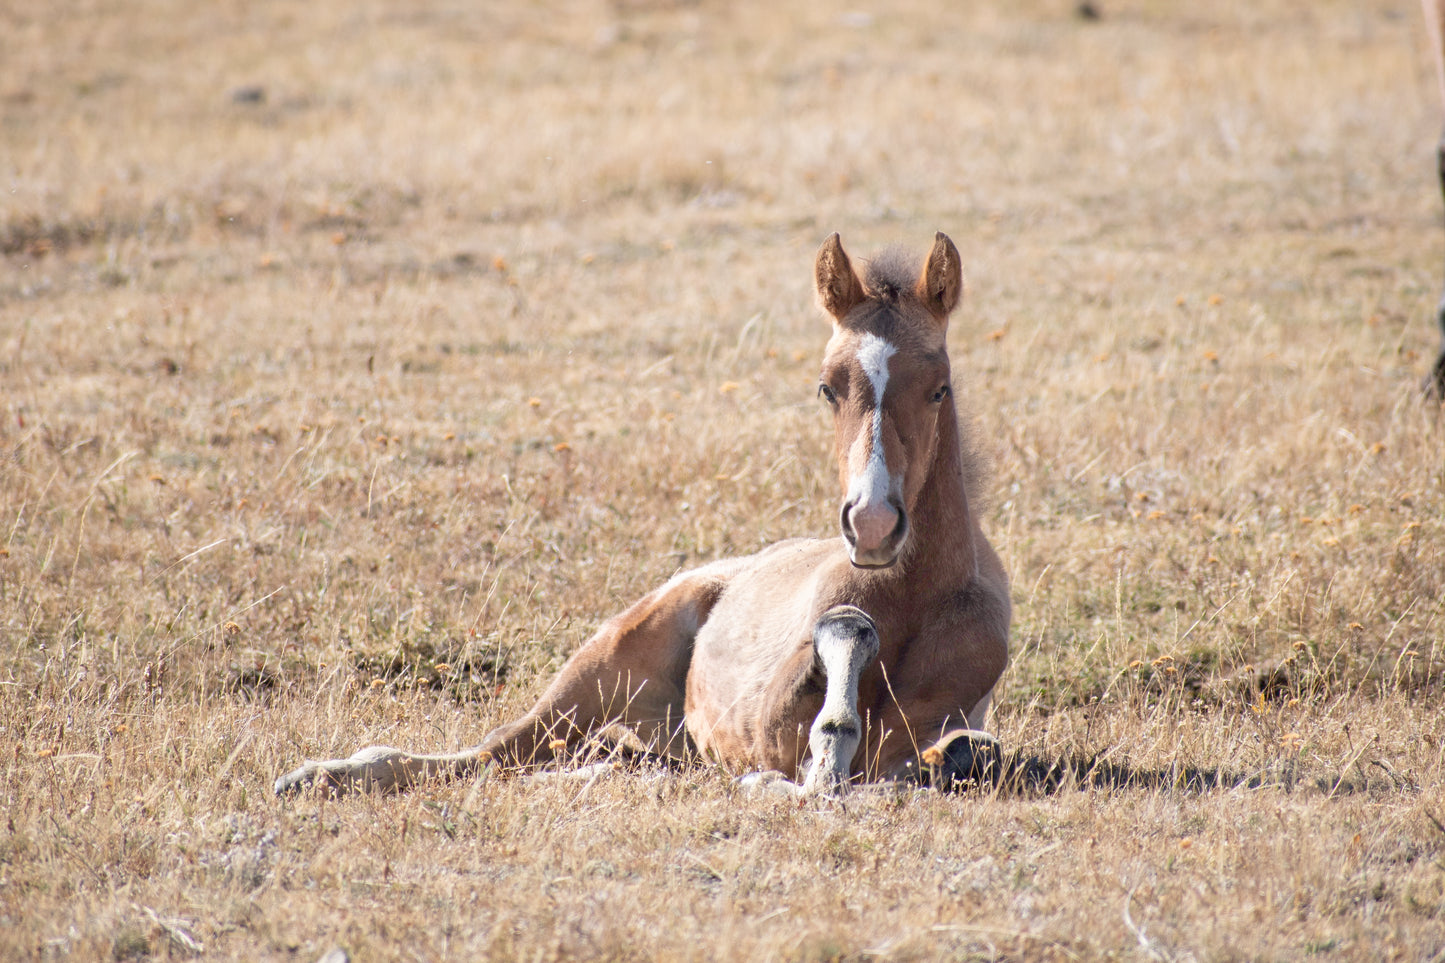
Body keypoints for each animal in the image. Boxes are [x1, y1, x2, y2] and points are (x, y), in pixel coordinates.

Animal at [273, 232, 1017, 792]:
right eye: (827, 388)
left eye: (939, 388)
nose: (872, 523)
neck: (912, 597)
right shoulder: (766, 721)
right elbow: (821, 734)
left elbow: (936, 748)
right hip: (601, 666)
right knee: (496, 753)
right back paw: (319, 774)